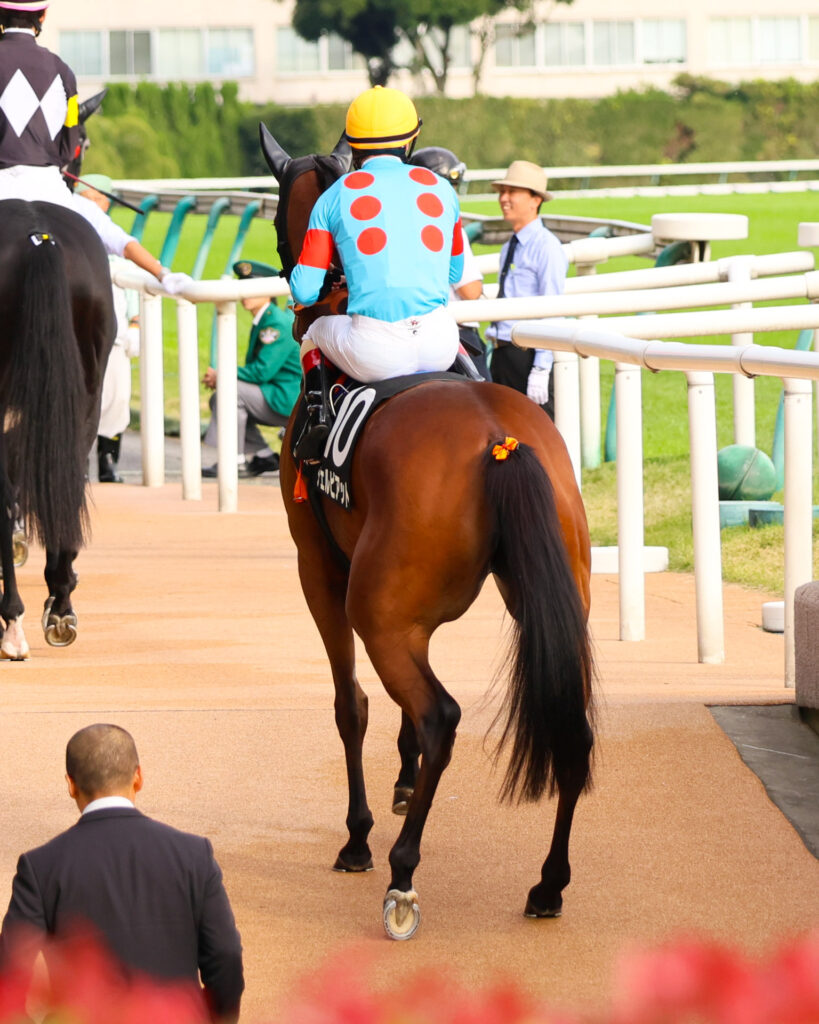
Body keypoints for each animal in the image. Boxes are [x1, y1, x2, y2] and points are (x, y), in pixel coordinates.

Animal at [261, 125, 595, 940]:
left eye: (281, 217)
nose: (285, 280)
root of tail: (498, 438)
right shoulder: (411, 605)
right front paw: (405, 781)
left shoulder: (322, 568)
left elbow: (352, 705)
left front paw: (356, 836)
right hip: (552, 593)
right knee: (567, 721)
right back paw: (548, 883)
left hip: (372, 607)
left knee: (441, 713)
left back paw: (401, 874)